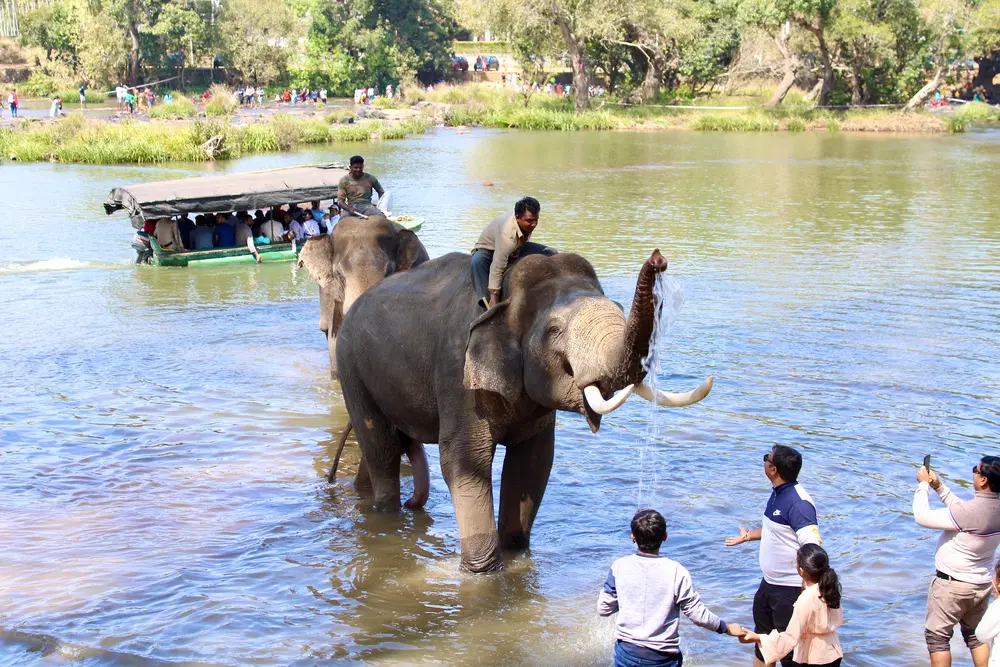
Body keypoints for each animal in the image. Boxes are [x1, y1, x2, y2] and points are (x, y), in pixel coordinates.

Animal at [336, 248, 712, 572]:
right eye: (554, 330)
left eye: (619, 308)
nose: (659, 260)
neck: (503, 298)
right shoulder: (458, 372)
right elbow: (465, 459)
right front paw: (482, 573)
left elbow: (533, 461)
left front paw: (515, 550)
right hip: (350, 365)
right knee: (382, 447)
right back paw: (386, 516)